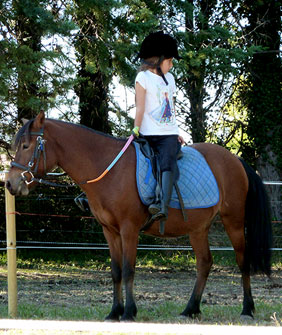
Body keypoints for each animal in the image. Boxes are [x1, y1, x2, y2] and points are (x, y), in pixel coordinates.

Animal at [6, 113, 270, 322]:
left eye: (26, 145)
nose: (10, 183)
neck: (108, 169)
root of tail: (235, 159)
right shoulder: (109, 231)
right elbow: (115, 271)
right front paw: (114, 311)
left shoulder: (129, 230)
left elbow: (128, 269)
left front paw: (129, 312)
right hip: (197, 228)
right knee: (204, 263)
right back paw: (190, 309)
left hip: (233, 222)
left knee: (242, 261)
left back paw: (247, 309)